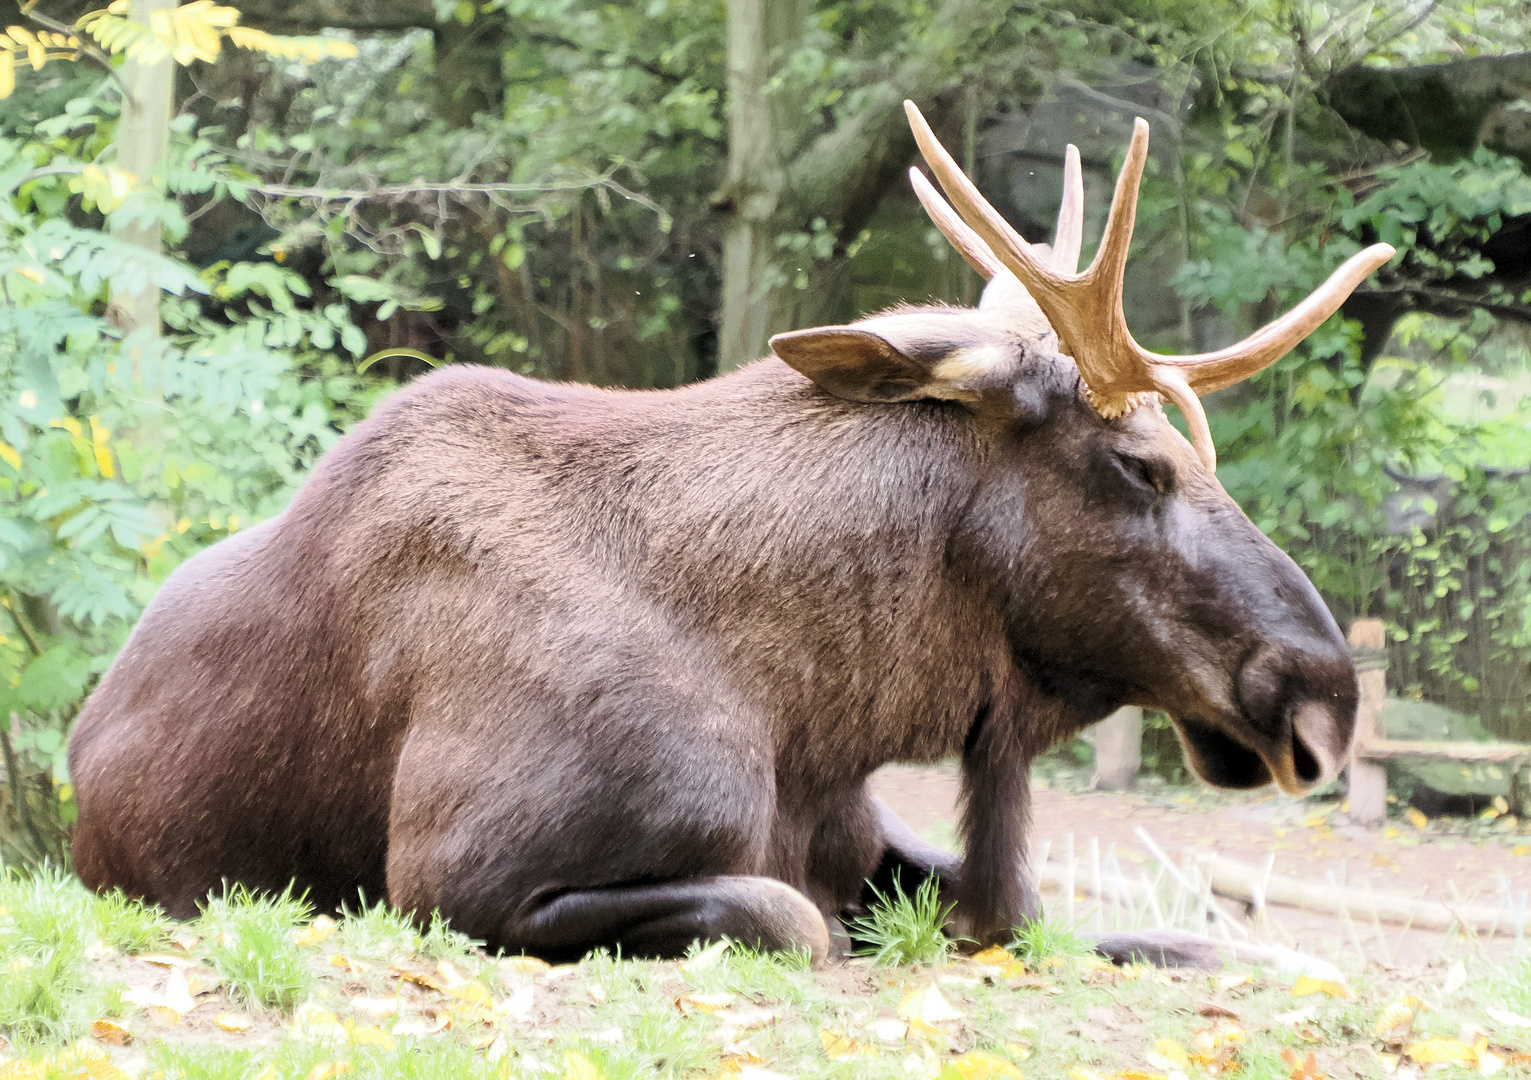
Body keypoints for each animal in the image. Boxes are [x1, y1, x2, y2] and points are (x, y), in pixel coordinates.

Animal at [68, 105, 1390, 962]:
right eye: (1139, 463)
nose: (1322, 695)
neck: (813, 698)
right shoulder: (454, 882)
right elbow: (791, 920)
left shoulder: (873, 830)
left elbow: (1203, 940)